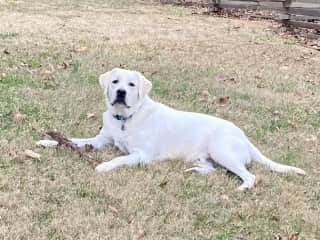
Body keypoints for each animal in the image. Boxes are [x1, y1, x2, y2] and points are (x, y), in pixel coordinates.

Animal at [37, 68, 304, 190]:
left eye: (131, 84)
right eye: (115, 82)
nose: (120, 92)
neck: (126, 117)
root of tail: (245, 136)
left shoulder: (141, 155)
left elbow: (119, 159)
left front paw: (103, 166)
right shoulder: (101, 139)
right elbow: (75, 140)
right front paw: (48, 142)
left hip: (221, 150)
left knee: (250, 175)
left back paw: (241, 188)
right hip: (208, 156)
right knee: (212, 169)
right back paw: (195, 171)